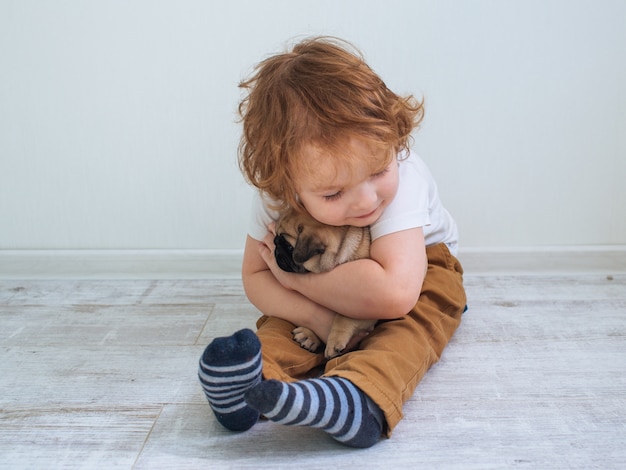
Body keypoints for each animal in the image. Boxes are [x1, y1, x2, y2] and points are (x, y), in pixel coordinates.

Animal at [274, 209, 376, 360]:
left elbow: (343, 317)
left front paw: (334, 341)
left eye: (289, 247)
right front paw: (310, 335)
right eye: (276, 240)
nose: (275, 247)